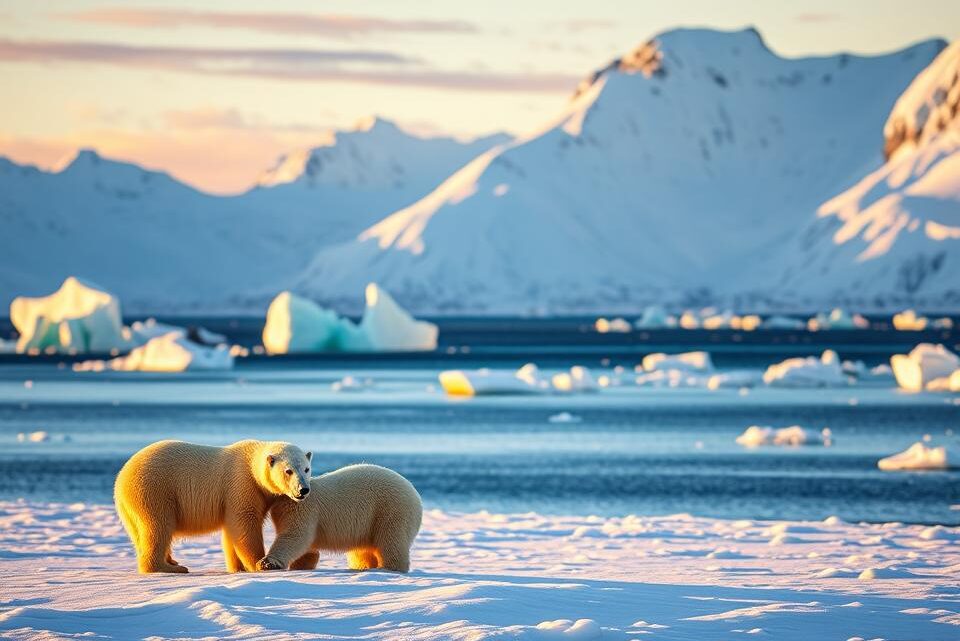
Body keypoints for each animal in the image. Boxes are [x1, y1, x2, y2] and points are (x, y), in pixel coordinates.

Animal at [114, 439, 312, 574]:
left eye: (306, 469)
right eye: (288, 471)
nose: (303, 489)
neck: (252, 464)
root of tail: (121, 477)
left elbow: (231, 531)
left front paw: (237, 567)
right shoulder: (242, 485)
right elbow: (244, 524)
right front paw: (258, 563)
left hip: (130, 508)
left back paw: (172, 562)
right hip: (153, 491)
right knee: (158, 526)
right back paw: (171, 568)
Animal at [257, 464, 422, 573]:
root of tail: (415, 494)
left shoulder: (301, 509)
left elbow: (295, 535)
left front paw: (266, 563)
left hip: (390, 510)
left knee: (391, 541)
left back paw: (389, 568)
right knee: (363, 552)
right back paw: (363, 567)